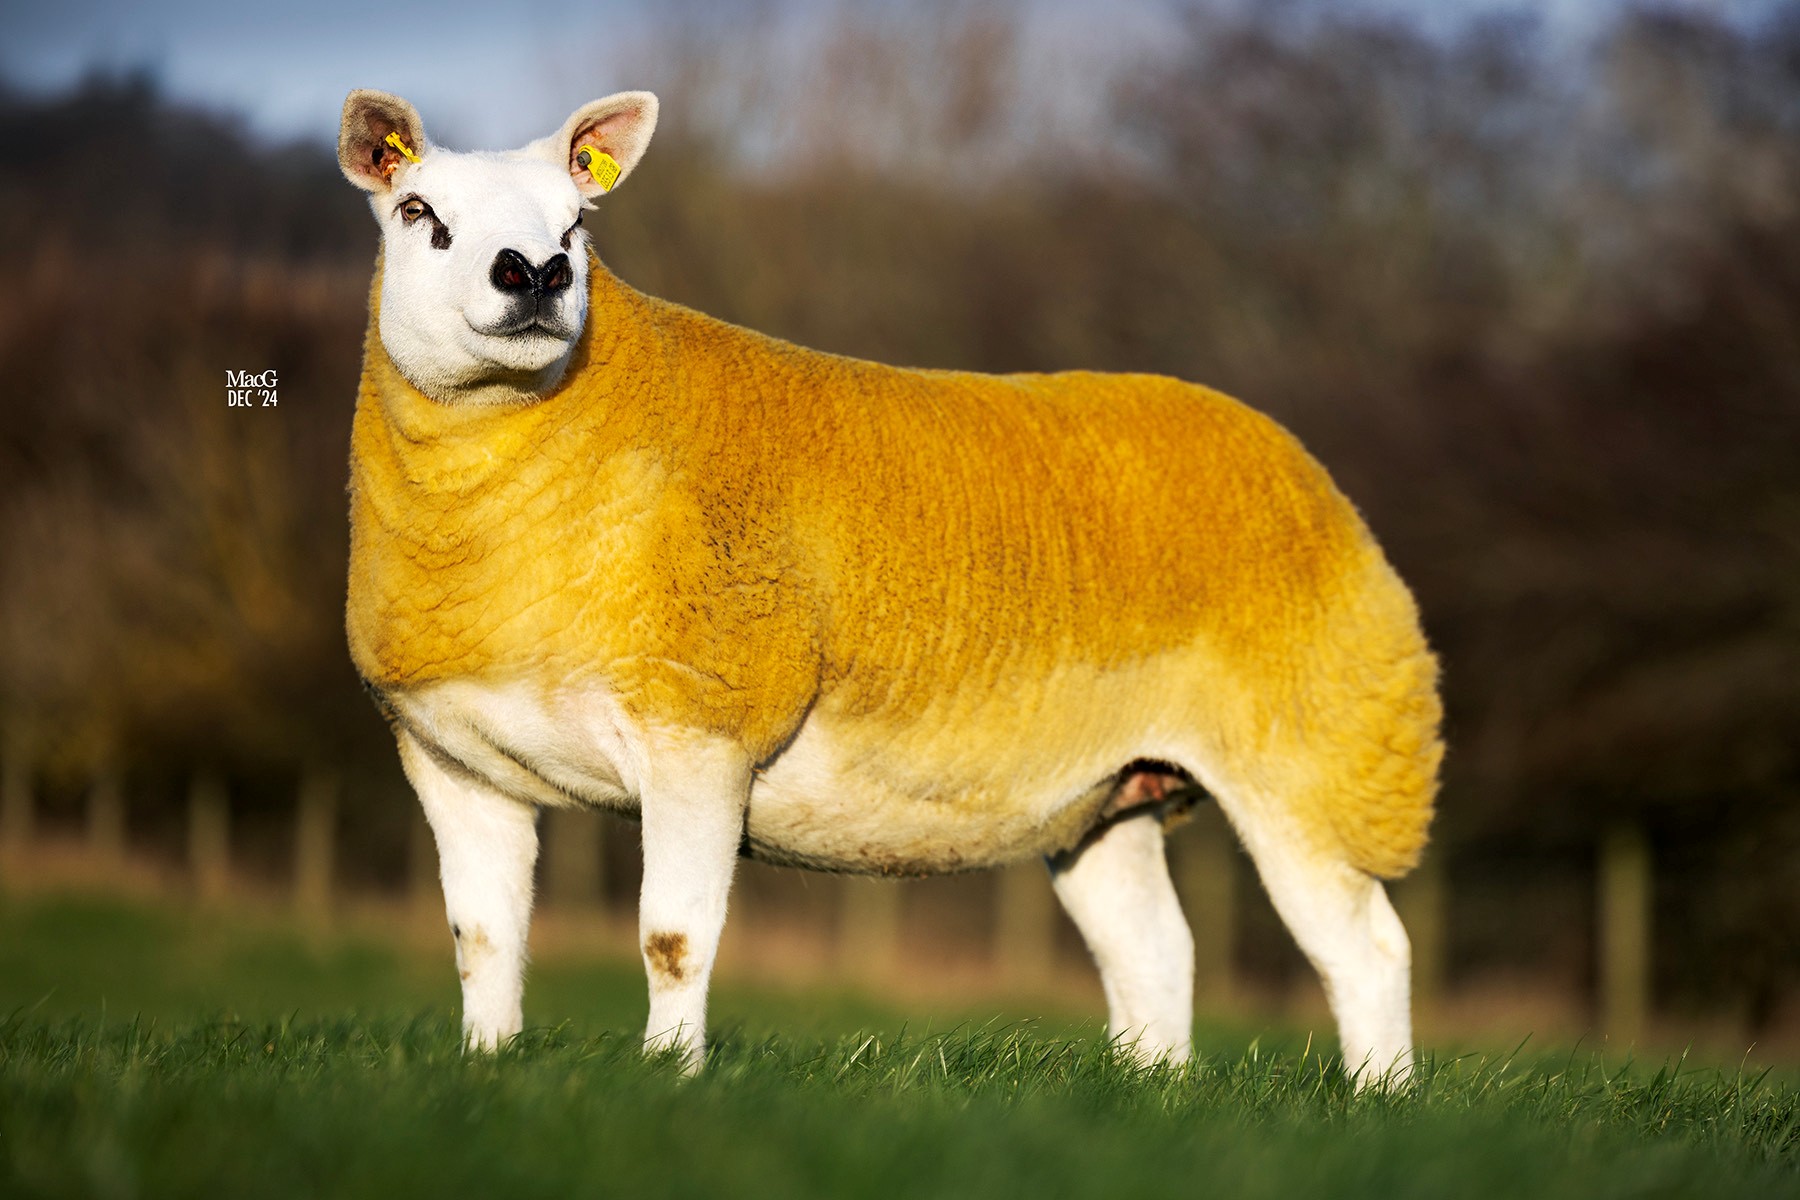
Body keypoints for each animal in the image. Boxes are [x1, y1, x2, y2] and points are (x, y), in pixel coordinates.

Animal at [336, 87, 1443, 1086]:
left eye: (577, 222)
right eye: (417, 212)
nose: (538, 274)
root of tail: (1295, 459)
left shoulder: (702, 728)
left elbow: (673, 939)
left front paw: (669, 1081)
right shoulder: (453, 759)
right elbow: (481, 940)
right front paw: (487, 1070)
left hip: (1320, 751)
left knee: (1367, 948)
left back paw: (1379, 1101)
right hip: (1111, 788)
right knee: (1156, 951)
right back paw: (1151, 1098)